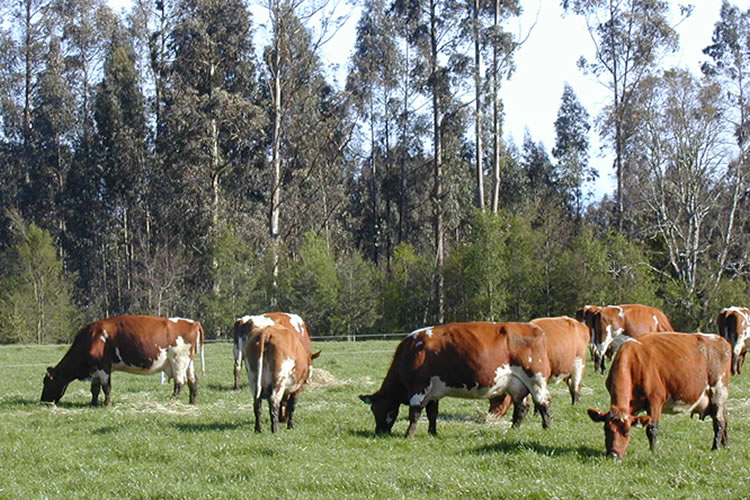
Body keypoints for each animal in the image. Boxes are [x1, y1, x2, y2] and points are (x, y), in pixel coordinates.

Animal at [40, 316, 206, 406]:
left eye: (47, 383)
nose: (43, 401)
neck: (91, 338)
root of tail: (193, 322)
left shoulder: (103, 367)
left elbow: (106, 387)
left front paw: (107, 404)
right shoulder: (95, 370)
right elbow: (95, 389)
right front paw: (93, 403)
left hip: (178, 361)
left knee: (180, 383)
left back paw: (171, 402)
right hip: (188, 363)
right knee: (193, 381)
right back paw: (192, 403)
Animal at [362, 322, 556, 436]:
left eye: (374, 408)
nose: (379, 432)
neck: (411, 353)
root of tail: (535, 329)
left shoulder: (419, 388)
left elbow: (414, 413)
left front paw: (409, 435)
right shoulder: (433, 392)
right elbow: (432, 413)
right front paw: (432, 433)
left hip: (535, 379)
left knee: (543, 403)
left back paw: (547, 428)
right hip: (517, 385)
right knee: (521, 407)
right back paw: (513, 429)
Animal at [592, 332, 732, 460]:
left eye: (626, 432)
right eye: (606, 429)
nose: (613, 455)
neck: (633, 363)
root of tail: (719, 339)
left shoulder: (655, 400)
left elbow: (652, 428)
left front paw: (653, 451)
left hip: (718, 392)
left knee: (719, 422)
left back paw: (715, 447)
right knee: (724, 419)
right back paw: (725, 444)